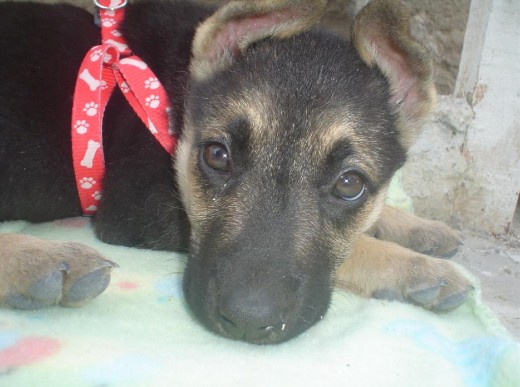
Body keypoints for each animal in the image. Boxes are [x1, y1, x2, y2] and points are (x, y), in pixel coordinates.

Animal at [0, 0, 472, 346]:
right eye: (217, 156)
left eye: (349, 184)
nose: (248, 322)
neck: (176, 93)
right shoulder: (136, 208)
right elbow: (357, 248)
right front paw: (420, 270)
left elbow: (373, 218)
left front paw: (420, 229)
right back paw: (41, 263)